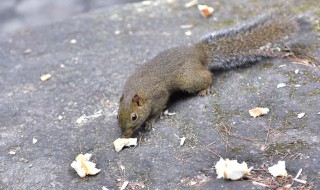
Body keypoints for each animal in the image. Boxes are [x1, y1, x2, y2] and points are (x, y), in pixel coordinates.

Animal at [118, 10, 304, 137]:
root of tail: (198, 52)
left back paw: (205, 89)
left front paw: (150, 121)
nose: (125, 135)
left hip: (188, 79)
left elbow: (157, 110)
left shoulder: (158, 96)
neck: (138, 91)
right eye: (117, 116)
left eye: (134, 117)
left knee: (208, 76)